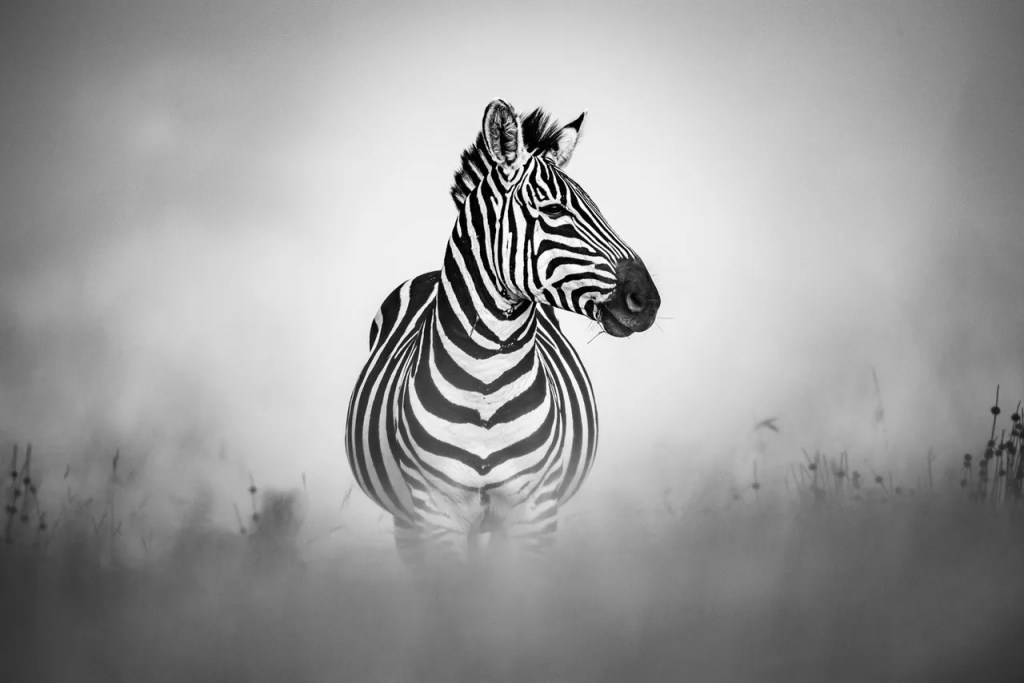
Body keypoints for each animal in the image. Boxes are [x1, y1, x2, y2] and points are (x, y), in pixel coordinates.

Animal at [345, 100, 660, 565]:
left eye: (599, 209)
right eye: (554, 211)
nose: (648, 300)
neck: (485, 382)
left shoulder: (535, 508)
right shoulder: (435, 510)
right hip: (408, 520)